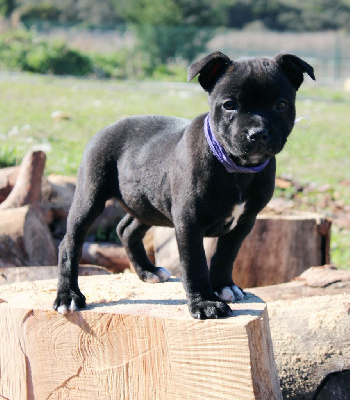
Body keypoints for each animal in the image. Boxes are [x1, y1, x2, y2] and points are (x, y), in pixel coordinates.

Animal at [54, 51, 314, 318]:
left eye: (281, 105)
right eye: (229, 105)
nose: (257, 133)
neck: (234, 167)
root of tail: (107, 128)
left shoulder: (244, 222)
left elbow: (226, 255)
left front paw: (224, 286)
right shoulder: (189, 222)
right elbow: (195, 264)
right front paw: (205, 303)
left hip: (148, 204)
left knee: (126, 229)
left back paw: (148, 271)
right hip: (90, 196)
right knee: (70, 243)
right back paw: (68, 296)